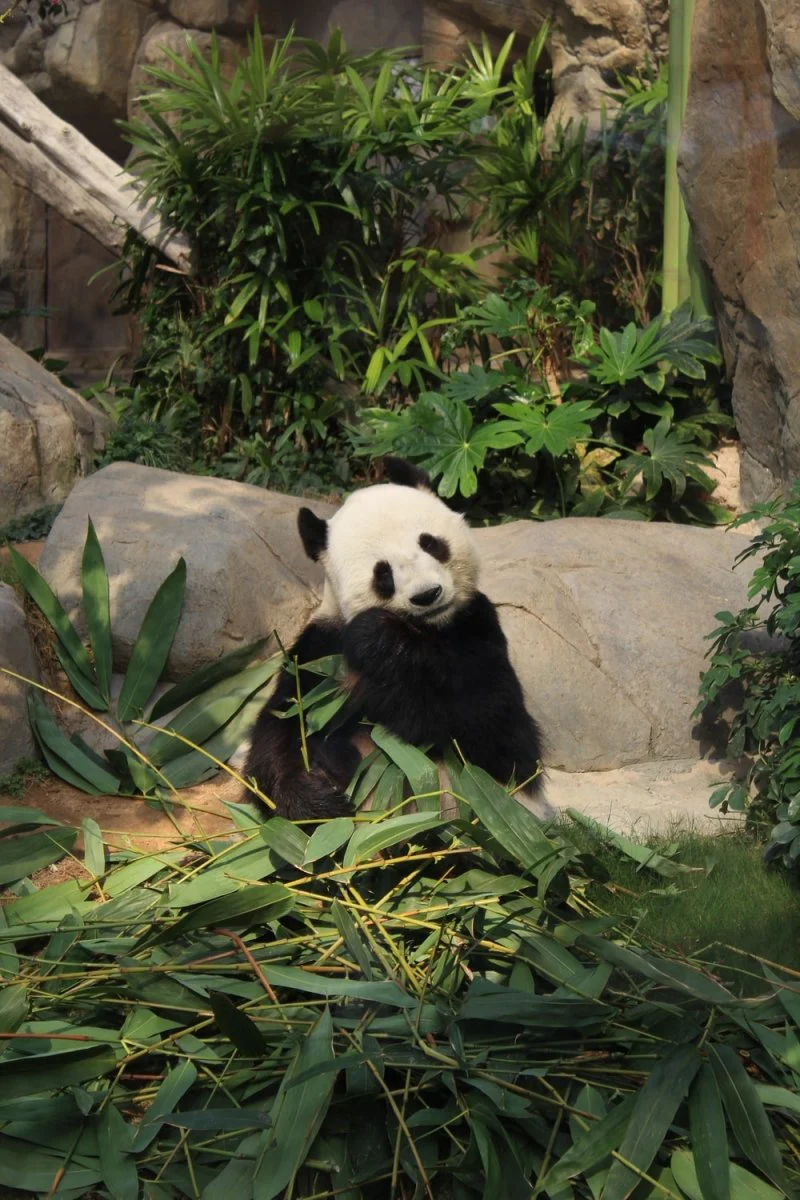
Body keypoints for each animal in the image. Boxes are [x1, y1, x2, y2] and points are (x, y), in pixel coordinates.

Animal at [245, 457, 544, 819]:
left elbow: (496, 730)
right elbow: (281, 725)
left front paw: (376, 639)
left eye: (431, 543)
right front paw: (313, 797)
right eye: (382, 572)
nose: (428, 595)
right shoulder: (319, 653)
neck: (428, 630)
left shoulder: (478, 628)